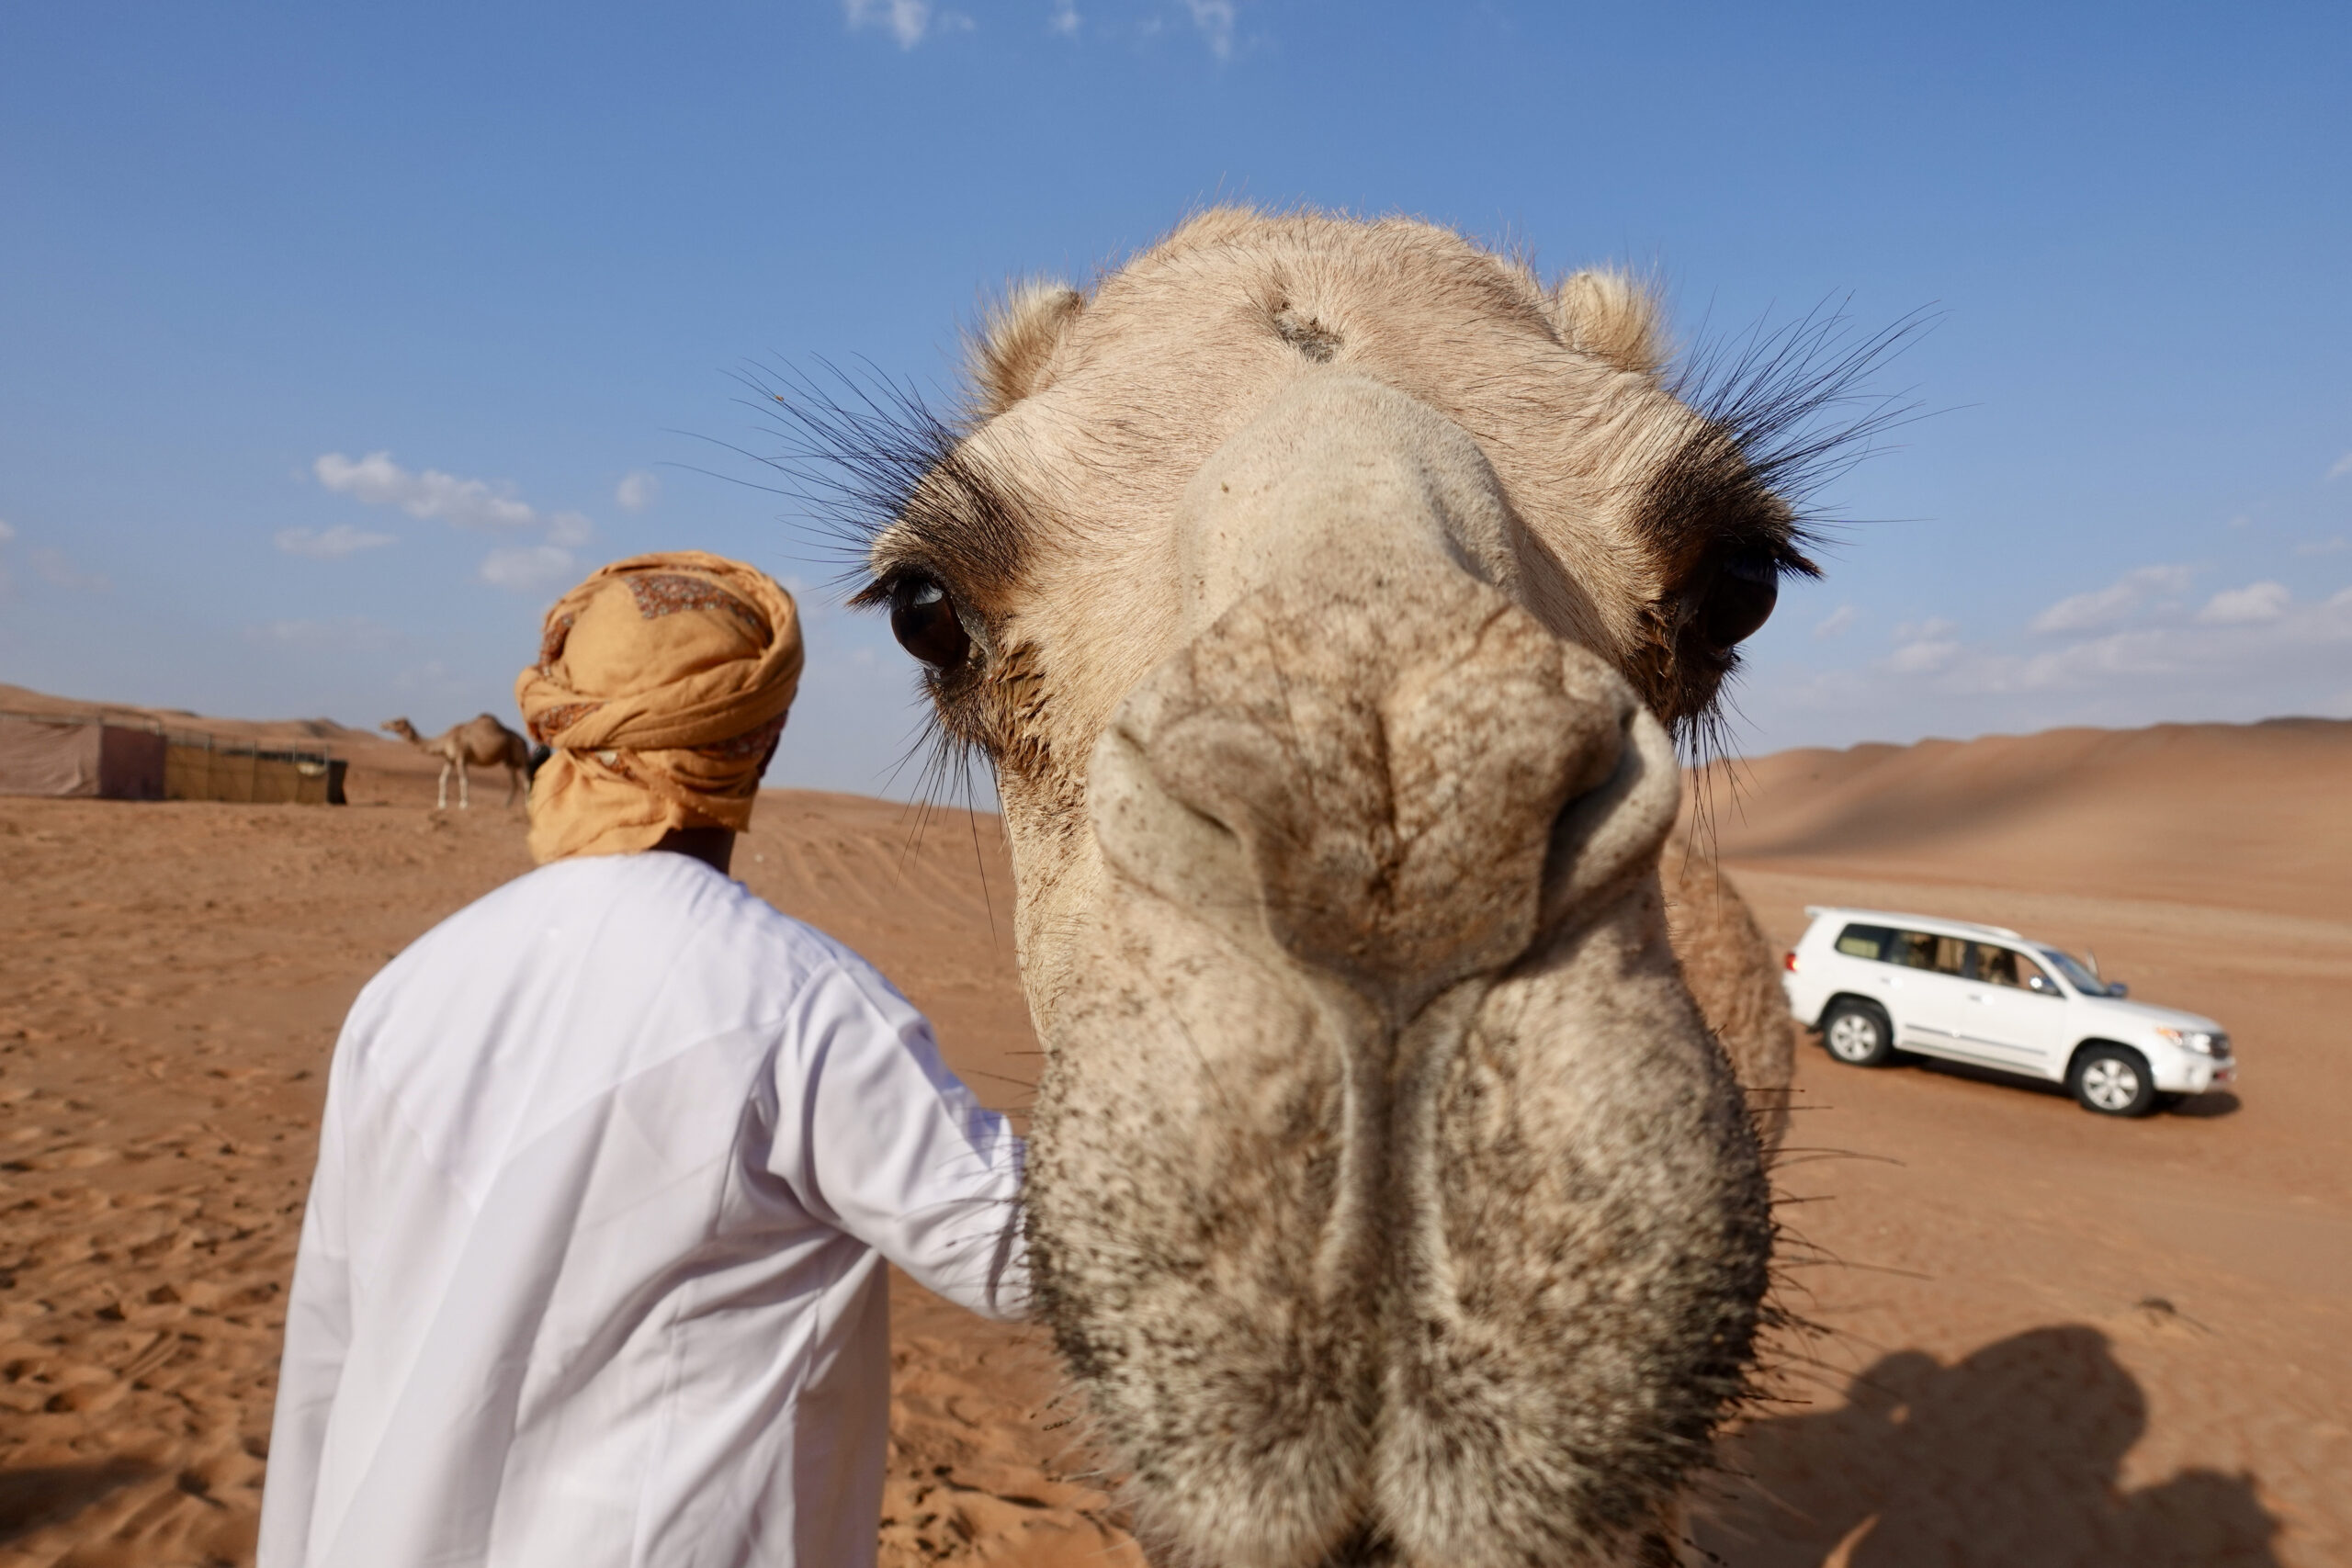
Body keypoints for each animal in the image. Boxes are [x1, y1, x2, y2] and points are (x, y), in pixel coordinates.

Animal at [380, 709, 529, 808]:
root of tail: (524, 741)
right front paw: (441, 804)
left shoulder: (460, 756)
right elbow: (442, 779)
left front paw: (464, 804)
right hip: (509, 761)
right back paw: (506, 805)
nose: (382, 724)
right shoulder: (450, 759)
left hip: (520, 757)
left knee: (526, 781)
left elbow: (463, 780)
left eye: (396, 722)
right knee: (514, 782)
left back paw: (527, 806)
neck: (445, 740)